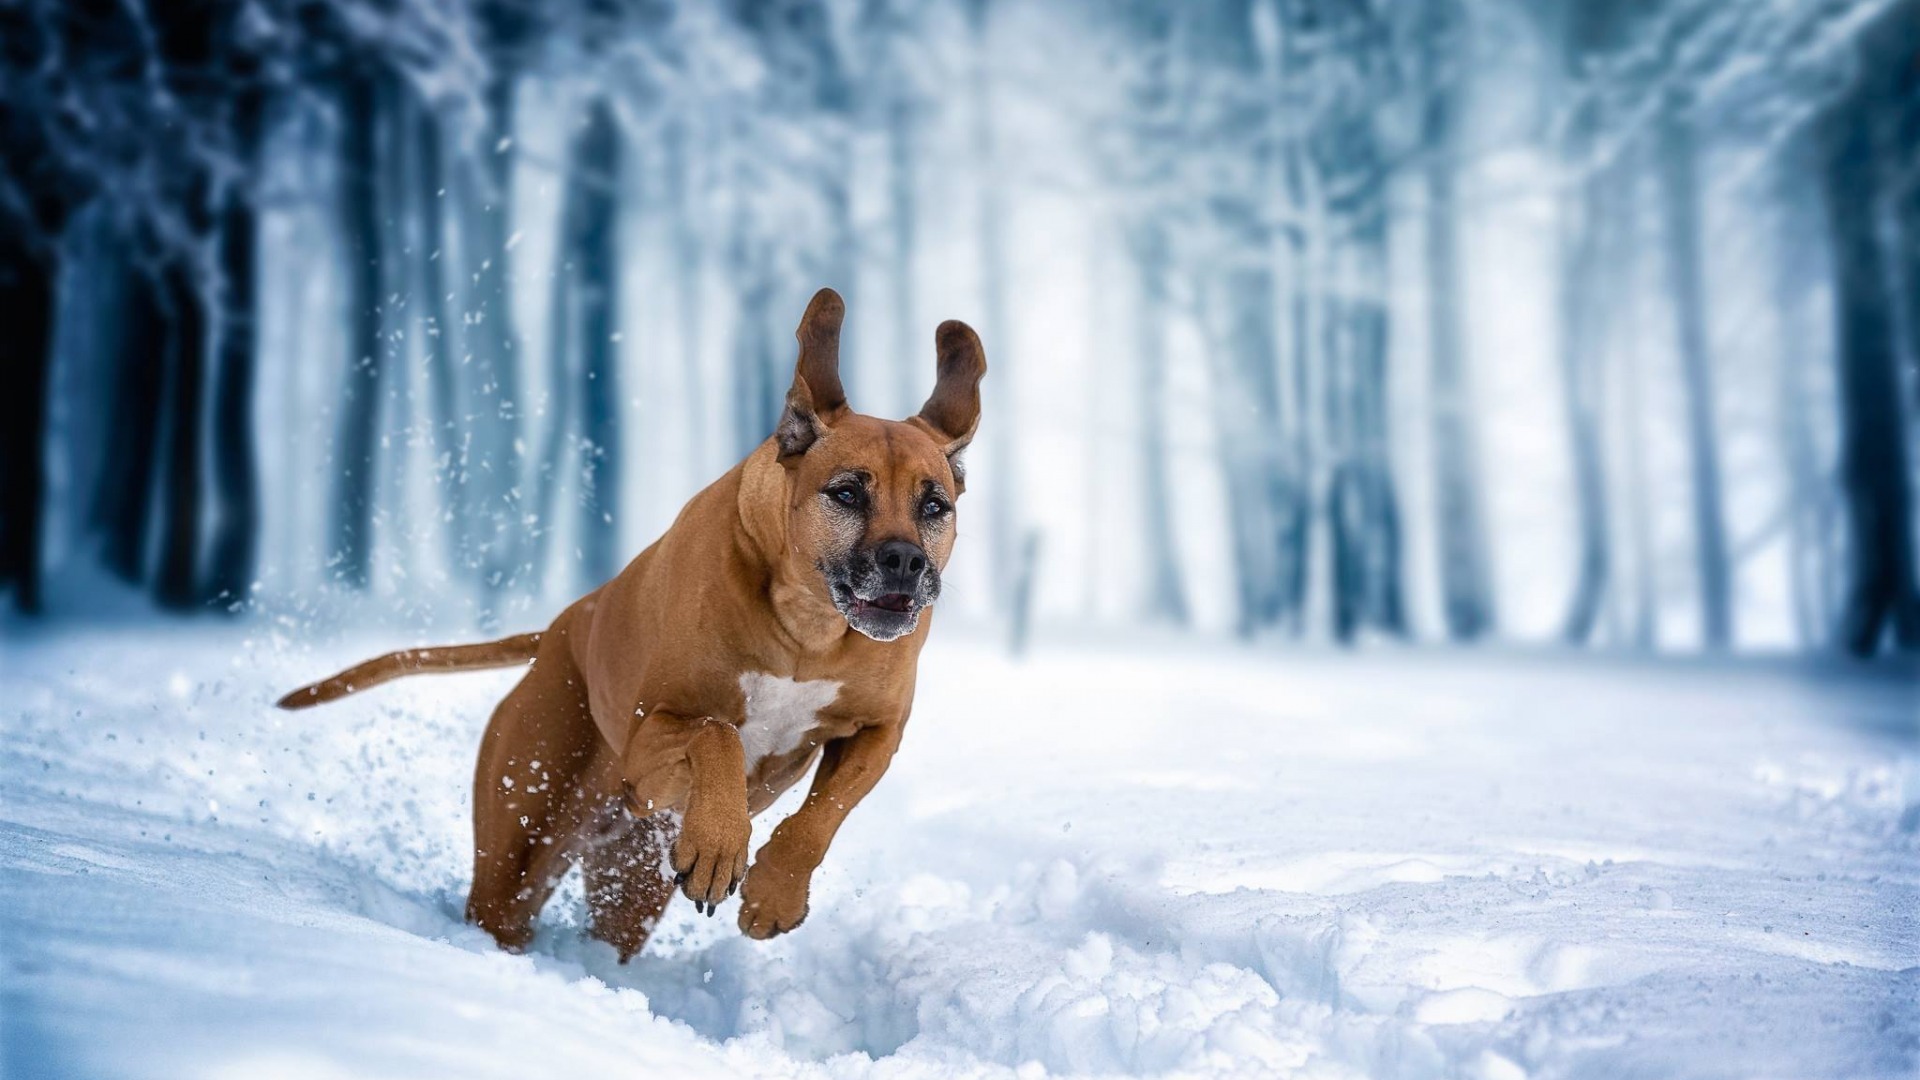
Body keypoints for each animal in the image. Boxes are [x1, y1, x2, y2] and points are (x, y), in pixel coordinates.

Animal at [278, 290, 983, 953]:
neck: (807, 627)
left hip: (635, 865)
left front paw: (776, 890)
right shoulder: (649, 744)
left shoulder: (877, 730)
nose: (904, 561)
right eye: (847, 493)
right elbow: (716, 733)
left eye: (934, 505)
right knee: (502, 901)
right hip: (526, 829)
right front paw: (721, 840)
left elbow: (827, 809)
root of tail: (561, 628)